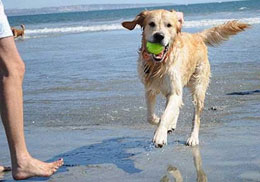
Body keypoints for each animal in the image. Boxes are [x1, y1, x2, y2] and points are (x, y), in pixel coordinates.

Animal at [122, 9, 250, 147]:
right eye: (151, 24)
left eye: (169, 25)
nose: (159, 36)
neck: (159, 64)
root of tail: (197, 36)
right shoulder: (150, 89)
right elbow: (151, 117)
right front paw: (161, 124)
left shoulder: (174, 91)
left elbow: (165, 115)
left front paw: (160, 135)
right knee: (178, 105)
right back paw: (171, 125)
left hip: (198, 89)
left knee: (196, 117)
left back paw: (193, 138)